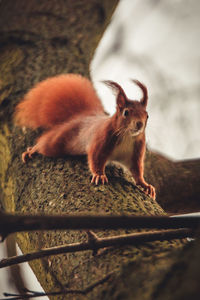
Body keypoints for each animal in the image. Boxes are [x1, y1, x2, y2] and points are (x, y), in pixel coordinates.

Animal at [14, 73, 155, 199]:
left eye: (147, 115)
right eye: (126, 112)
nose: (140, 124)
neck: (127, 136)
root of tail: (81, 116)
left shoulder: (135, 152)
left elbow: (136, 170)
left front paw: (145, 185)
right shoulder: (101, 139)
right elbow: (96, 158)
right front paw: (99, 175)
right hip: (57, 141)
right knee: (44, 143)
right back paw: (31, 150)